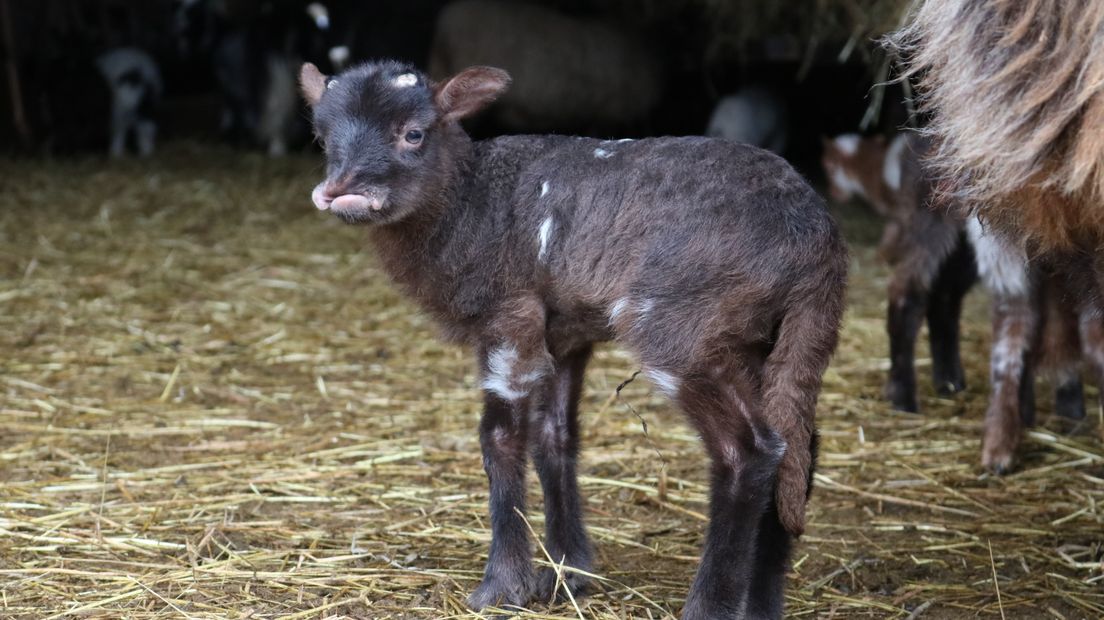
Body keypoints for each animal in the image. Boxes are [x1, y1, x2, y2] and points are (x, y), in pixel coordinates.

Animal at [298, 59, 847, 617]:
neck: (469, 200)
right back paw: (762, 601)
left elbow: (500, 438)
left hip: (681, 324)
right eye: (322, 137)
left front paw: (503, 585)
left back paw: (710, 605)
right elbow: (554, 436)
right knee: (798, 443)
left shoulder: (510, 315)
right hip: (766, 335)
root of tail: (817, 248)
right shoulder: (565, 332)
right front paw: (566, 571)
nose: (340, 191)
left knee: (750, 449)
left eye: (413, 133)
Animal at [825, 130, 1099, 467]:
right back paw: (903, 396)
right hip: (934, 220)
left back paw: (950, 381)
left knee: (945, 298)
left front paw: (1063, 410)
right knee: (908, 291)